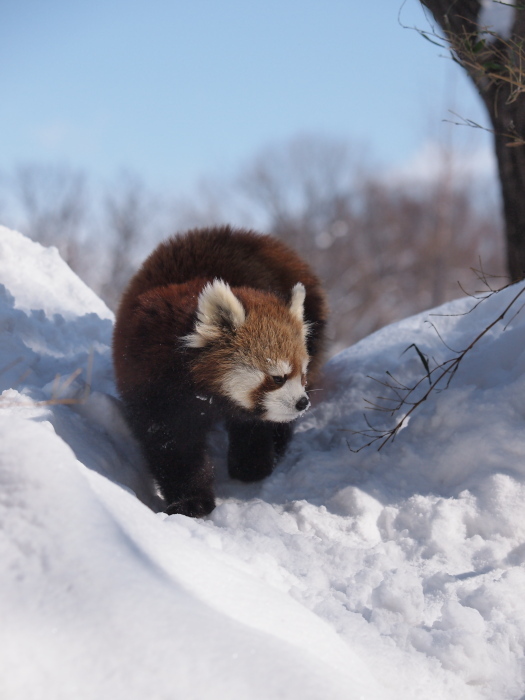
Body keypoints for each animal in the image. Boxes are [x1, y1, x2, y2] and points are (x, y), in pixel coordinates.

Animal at [113, 227, 328, 516]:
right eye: (277, 378)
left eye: (300, 375)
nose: (302, 402)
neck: (206, 394)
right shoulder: (150, 384)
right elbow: (174, 446)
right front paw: (191, 501)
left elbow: (252, 426)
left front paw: (250, 466)